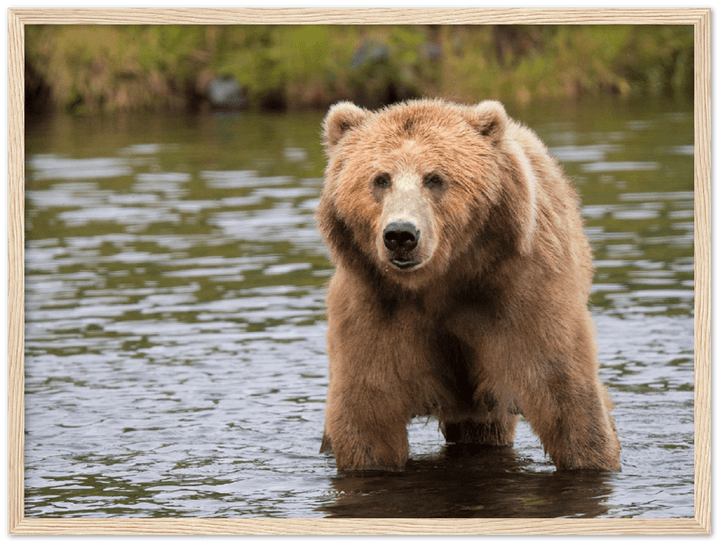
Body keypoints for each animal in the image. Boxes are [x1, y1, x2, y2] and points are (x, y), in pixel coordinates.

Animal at [315, 98, 621, 472]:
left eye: (434, 178)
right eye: (380, 179)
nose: (401, 235)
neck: (443, 280)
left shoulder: (521, 295)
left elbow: (565, 394)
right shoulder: (375, 308)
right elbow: (368, 413)